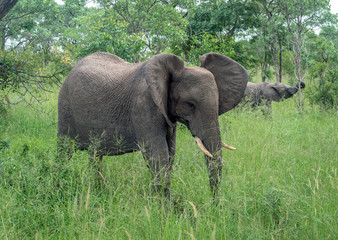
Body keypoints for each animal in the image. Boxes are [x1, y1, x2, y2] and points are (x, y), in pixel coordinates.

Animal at [57, 52, 248, 197]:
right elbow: (158, 157)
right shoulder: (143, 107)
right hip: (65, 106)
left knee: (95, 155)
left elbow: (170, 155)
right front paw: (166, 213)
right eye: (190, 104)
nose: (215, 204)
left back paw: (97, 191)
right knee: (64, 151)